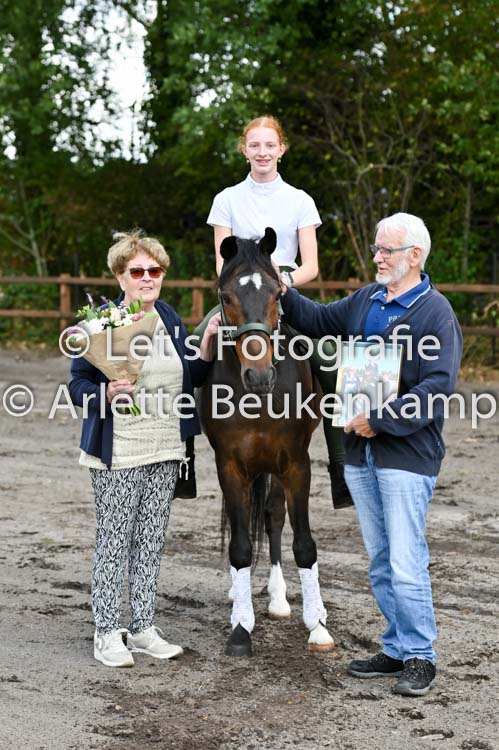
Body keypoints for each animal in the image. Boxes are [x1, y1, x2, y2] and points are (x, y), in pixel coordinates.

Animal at [198, 227, 335, 657]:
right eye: (227, 296)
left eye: (277, 293)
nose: (259, 375)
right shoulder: (230, 464)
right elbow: (240, 545)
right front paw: (241, 629)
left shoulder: (295, 463)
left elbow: (303, 543)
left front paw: (317, 627)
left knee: (274, 516)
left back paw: (278, 597)